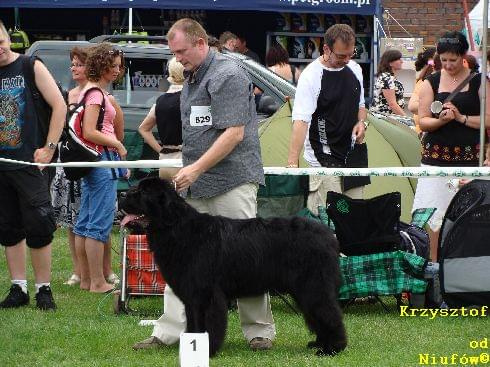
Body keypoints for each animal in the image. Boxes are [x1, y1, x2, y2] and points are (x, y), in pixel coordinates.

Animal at [121, 178, 346, 356]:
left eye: (143, 192)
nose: (122, 194)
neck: (177, 229)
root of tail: (329, 236)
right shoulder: (191, 297)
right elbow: (193, 324)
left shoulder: (207, 295)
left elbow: (208, 325)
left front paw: (207, 350)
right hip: (304, 289)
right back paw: (319, 343)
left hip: (313, 286)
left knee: (329, 313)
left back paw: (332, 349)